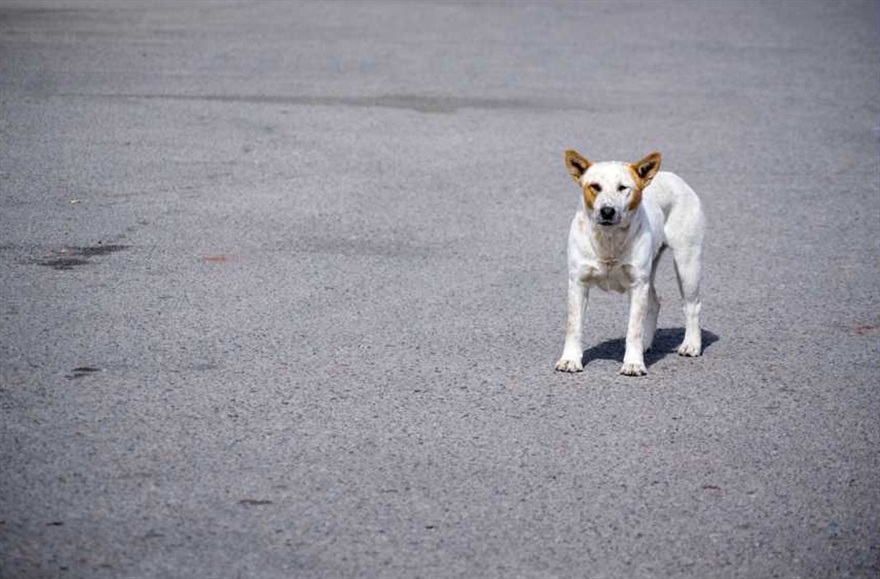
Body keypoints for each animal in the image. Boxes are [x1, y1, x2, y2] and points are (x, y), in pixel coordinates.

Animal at [552, 151, 704, 376]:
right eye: (595, 186)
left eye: (623, 187)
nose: (607, 211)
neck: (609, 239)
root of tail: (675, 178)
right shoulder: (578, 283)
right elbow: (573, 325)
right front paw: (570, 360)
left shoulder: (637, 284)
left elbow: (633, 329)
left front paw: (633, 363)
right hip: (652, 271)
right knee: (655, 303)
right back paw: (646, 344)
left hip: (687, 263)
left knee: (692, 305)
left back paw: (691, 344)